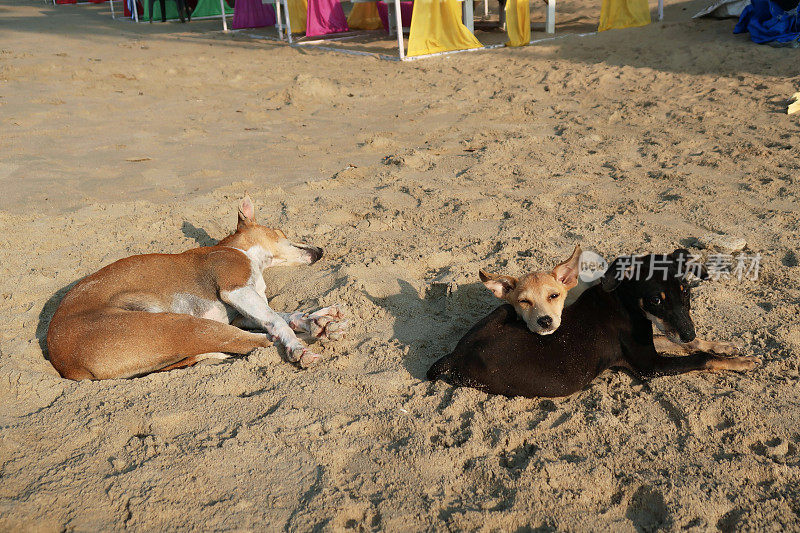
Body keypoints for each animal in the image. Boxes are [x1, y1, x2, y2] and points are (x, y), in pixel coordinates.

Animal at [428, 248, 760, 394]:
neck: (623, 301)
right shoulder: (648, 365)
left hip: (504, 312)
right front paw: (740, 362)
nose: (688, 332)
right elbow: (700, 359)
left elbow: (684, 345)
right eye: (655, 299)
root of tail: (452, 357)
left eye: (686, 291)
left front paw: (725, 346)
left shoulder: (651, 341)